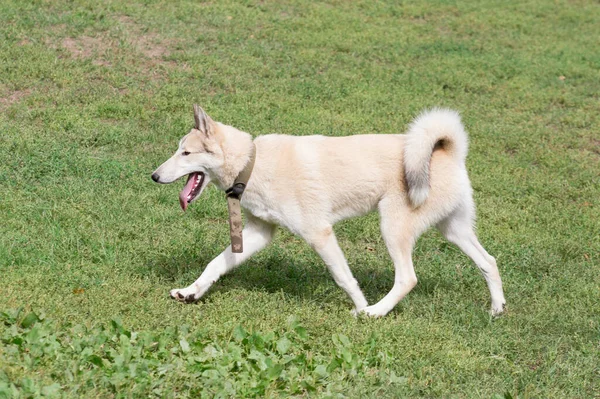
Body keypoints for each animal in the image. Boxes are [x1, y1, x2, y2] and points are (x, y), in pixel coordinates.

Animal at [151, 106, 506, 318]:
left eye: (186, 153)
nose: (153, 176)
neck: (252, 162)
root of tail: (446, 150)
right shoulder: (256, 234)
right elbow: (215, 265)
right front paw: (191, 292)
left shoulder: (319, 234)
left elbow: (344, 278)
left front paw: (361, 307)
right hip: (453, 230)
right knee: (488, 262)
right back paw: (497, 309)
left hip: (392, 228)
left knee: (408, 278)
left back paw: (375, 312)